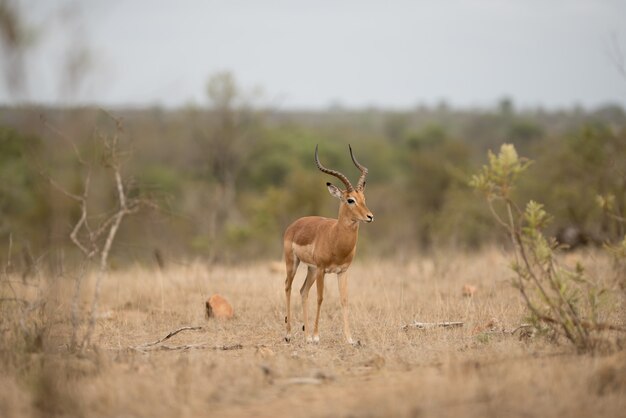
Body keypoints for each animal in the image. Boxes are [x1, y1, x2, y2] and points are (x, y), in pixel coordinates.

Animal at [282, 145, 370, 344]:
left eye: (363, 198)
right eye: (350, 200)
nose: (370, 216)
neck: (335, 238)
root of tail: (294, 224)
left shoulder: (342, 271)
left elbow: (344, 300)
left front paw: (350, 339)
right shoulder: (323, 269)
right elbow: (321, 298)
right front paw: (316, 336)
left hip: (311, 270)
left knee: (303, 291)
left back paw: (305, 335)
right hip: (293, 263)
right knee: (288, 286)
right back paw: (289, 334)